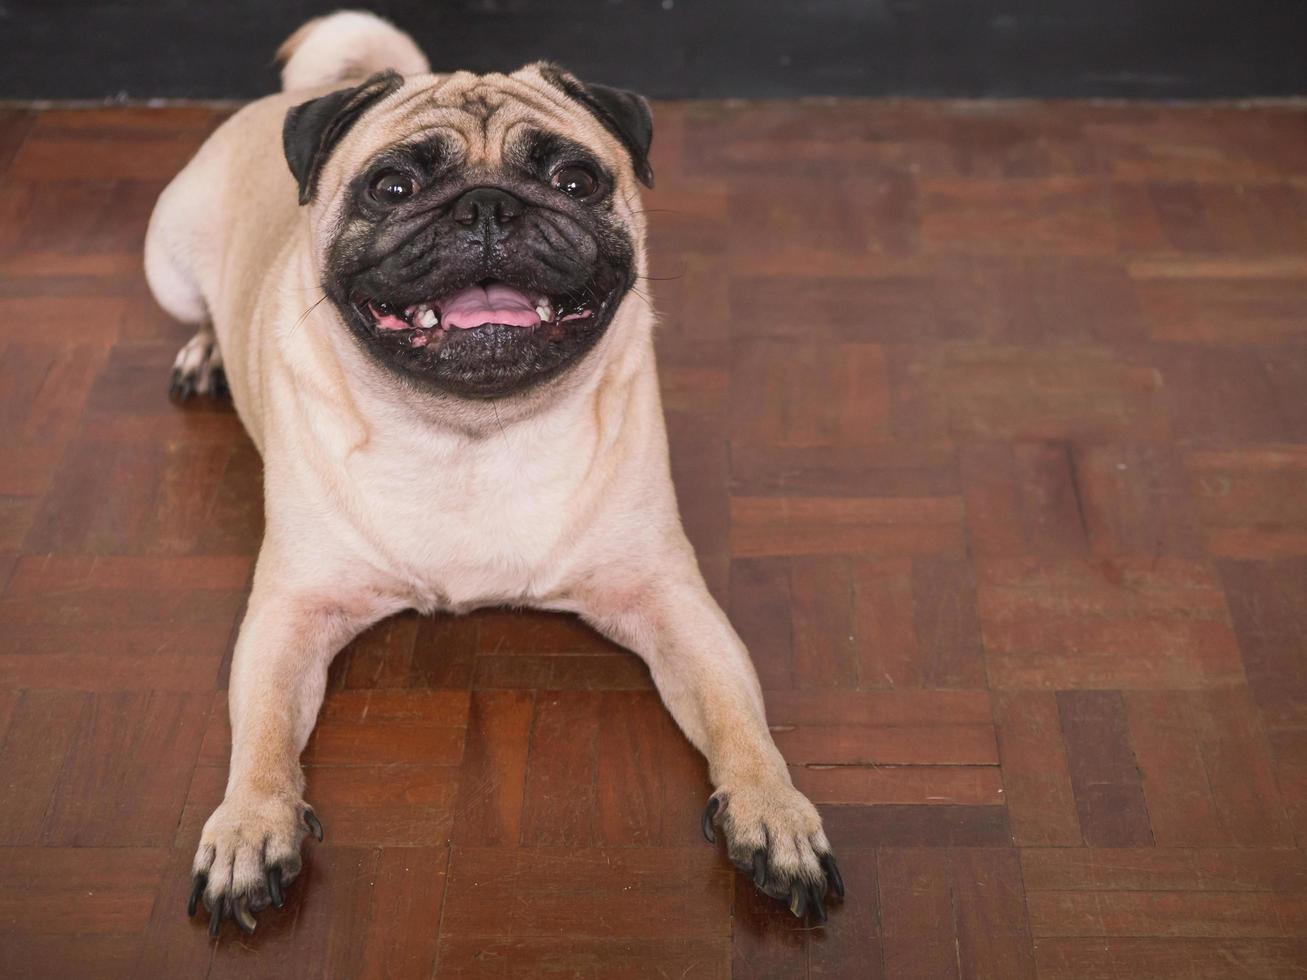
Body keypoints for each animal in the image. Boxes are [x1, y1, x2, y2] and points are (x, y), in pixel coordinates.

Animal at [145, 9, 836, 946]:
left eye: (575, 180)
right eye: (393, 187)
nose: (486, 205)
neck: (471, 437)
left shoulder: (670, 601)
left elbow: (739, 718)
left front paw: (773, 812)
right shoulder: (291, 612)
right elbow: (260, 737)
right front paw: (251, 827)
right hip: (167, 266)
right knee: (199, 311)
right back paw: (207, 351)